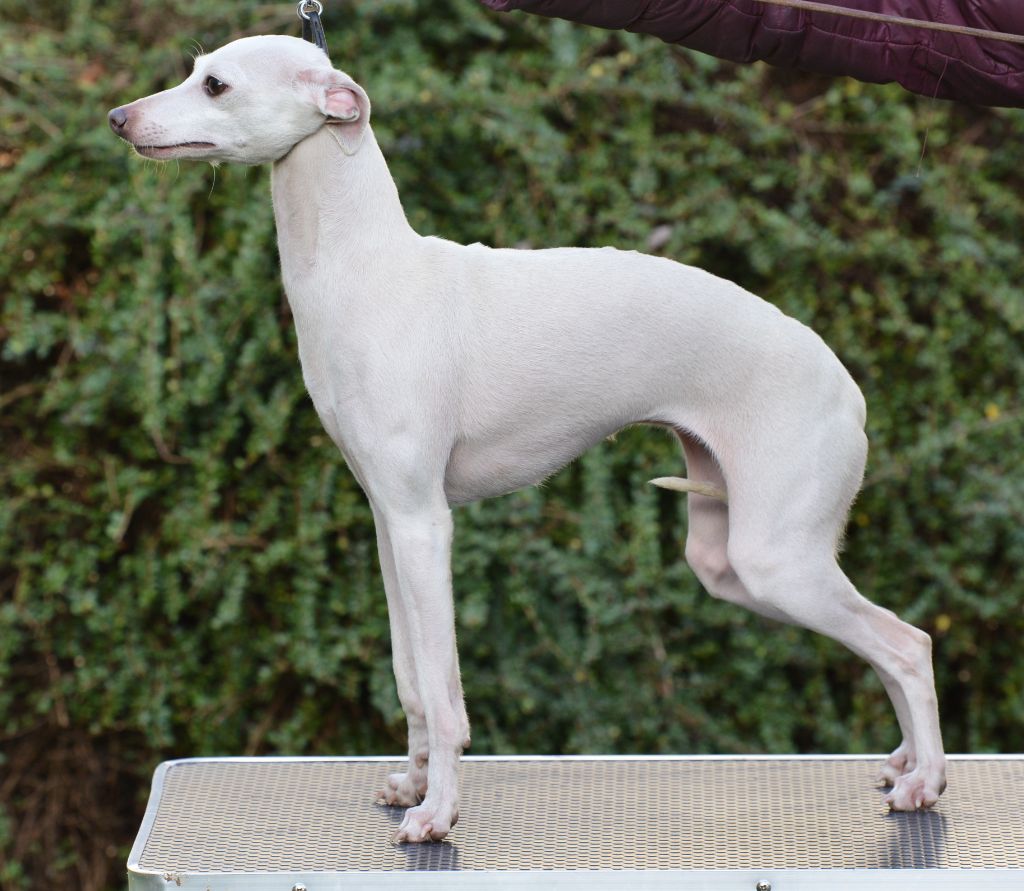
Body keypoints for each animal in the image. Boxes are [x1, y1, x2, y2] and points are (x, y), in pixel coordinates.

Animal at [109, 34, 947, 842]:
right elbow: (410, 677)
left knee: (908, 643)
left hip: (777, 560)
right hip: (733, 561)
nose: (118, 118)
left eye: (216, 83)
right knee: (881, 647)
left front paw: (437, 813)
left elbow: (443, 689)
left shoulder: (425, 524)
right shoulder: (389, 521)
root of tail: (849, 389)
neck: (368, 271)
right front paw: (412, 781)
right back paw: (904, 765)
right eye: (195, 68)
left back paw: (927, 780)